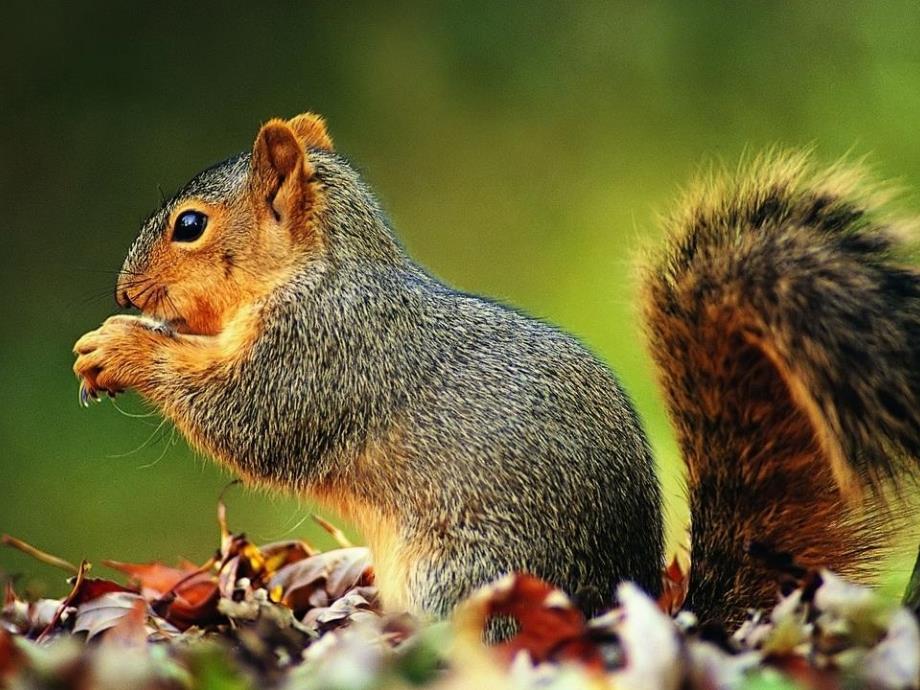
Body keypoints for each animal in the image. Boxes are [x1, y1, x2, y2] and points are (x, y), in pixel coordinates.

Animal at [72, 111, 920, 628]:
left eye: (190, 225)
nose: (122, 291)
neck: (320, 268)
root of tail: (617, 603)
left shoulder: (320, 353)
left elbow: (246, 419)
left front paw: (119, 346)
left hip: (467, 577)